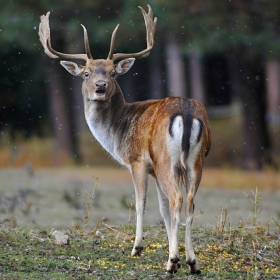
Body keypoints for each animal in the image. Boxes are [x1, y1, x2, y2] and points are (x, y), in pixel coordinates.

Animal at [38, 5, 211, 274]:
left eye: (112, 73)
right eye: (86, 73)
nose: (100, 86)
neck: (118, 130)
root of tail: (187, 112)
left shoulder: (137, 161)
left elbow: (140, 203)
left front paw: (137, 248)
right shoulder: (153, 170)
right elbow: (162, 209)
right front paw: (175, 251)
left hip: (166, 161)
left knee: (178, 198)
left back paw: (172, 262)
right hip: (196, 162)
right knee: (189, 201)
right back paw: (192, 263)